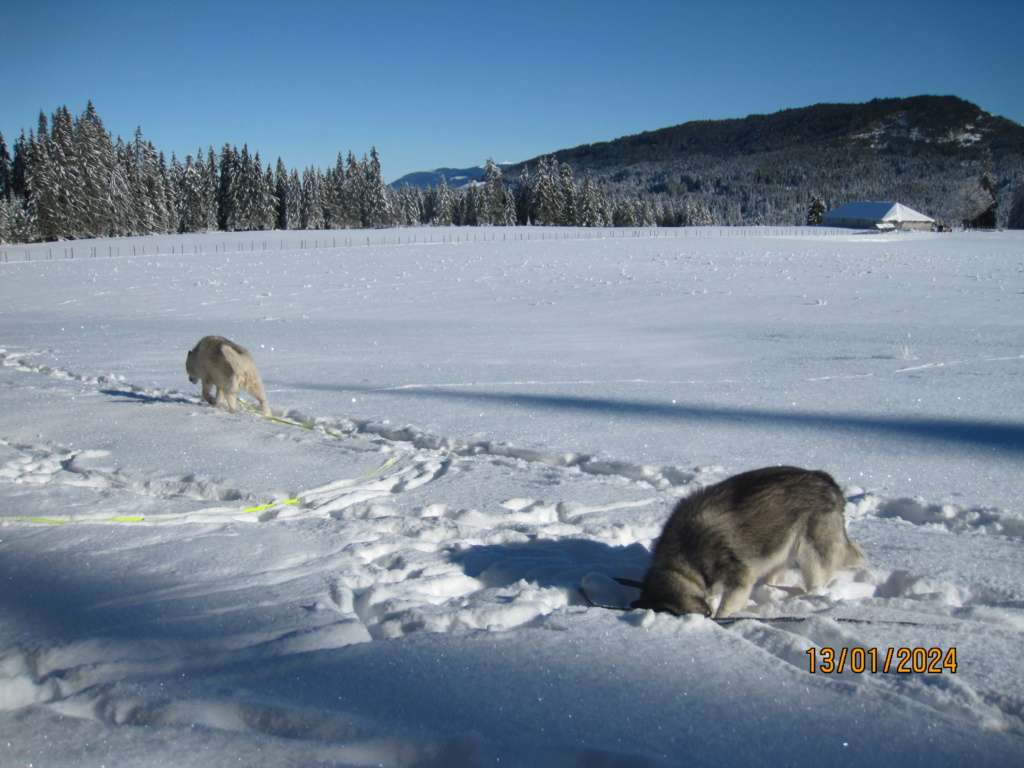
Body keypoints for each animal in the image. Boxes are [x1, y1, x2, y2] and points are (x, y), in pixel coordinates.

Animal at [630, 466, 864, 622]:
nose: (706, 616)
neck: (682, 560)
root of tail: (826, 479)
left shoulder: (740, 577)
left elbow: (727, 606)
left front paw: (720, 619)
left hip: (812, 555)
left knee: (817, 578)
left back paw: (812, 596)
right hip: (777, 548)